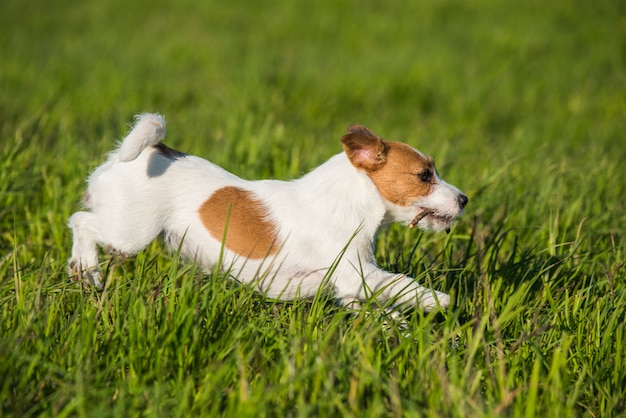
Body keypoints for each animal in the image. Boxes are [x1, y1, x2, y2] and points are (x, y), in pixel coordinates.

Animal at [70, 113, 466, 310]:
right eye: (425, 176)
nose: (464, 199)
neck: (348, 201)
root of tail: (143, 152)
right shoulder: (357, 274)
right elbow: (401, 283)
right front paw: (439, 300)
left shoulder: (349, 287)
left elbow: (379, 308)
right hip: (129, 233)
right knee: (81, 222)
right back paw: (87, 268)